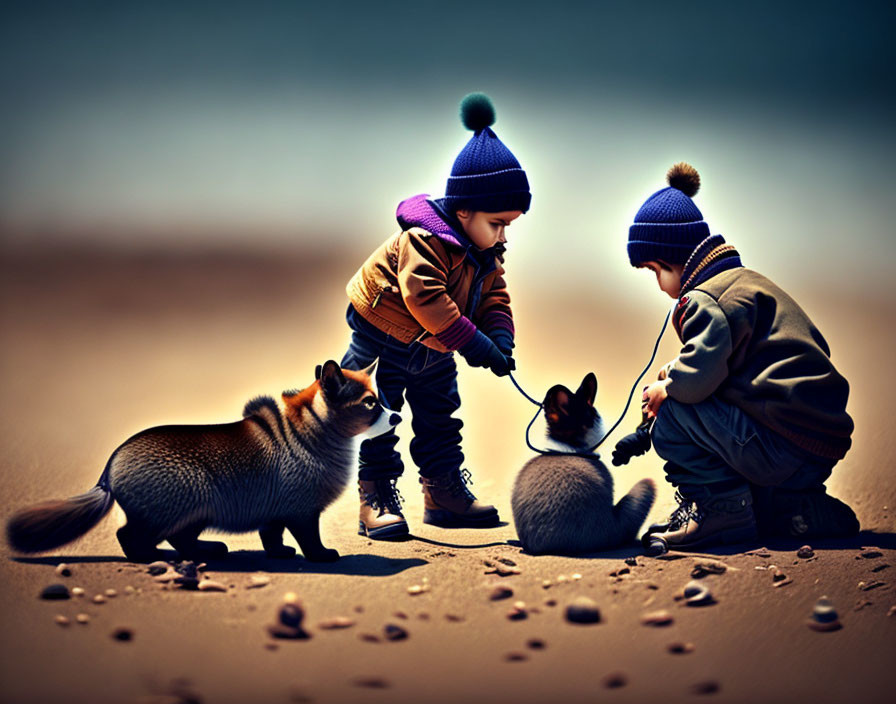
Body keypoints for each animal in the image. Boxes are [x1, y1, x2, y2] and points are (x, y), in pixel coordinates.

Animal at [2, 360, 396, 564]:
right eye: (369, 402)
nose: (395, 417)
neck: (312, 429)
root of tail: (109, 470)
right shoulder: (301, 511)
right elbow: (308, 537)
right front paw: (320, 555)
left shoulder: (275, 509)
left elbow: (271, 534)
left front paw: (280, 552)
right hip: (178, 503)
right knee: (130, 535)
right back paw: (149, 556)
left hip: (197, 509)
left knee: (181, 538)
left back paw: (206, 549)